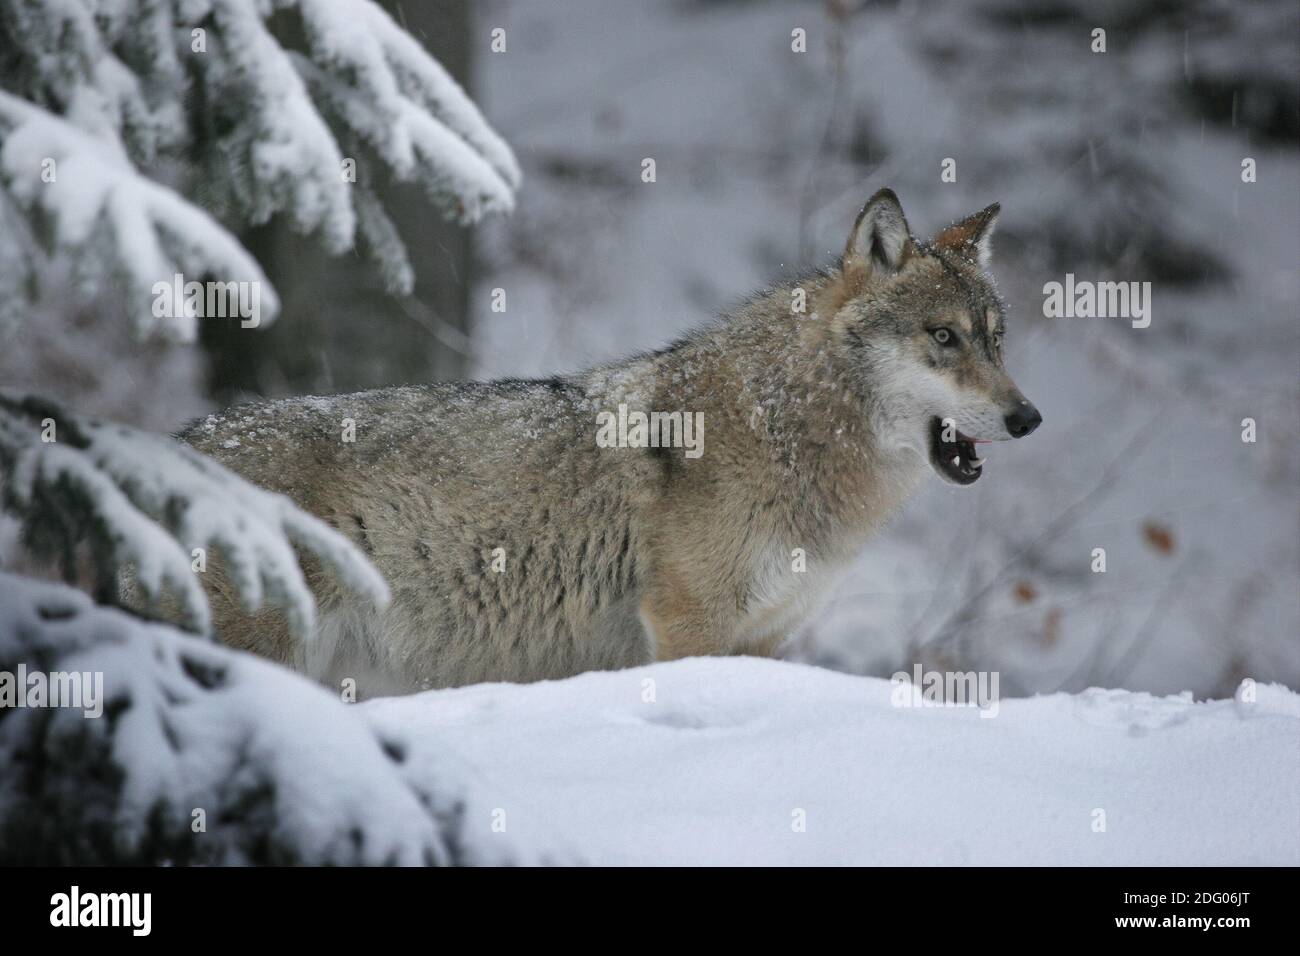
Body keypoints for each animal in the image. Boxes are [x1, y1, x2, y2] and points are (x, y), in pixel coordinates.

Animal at [181, 189, 1041, 692]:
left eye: (996, 341)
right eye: (943, 338)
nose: (1028, 418)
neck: (784, 429)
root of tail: (178, 441)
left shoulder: (764, 641)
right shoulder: (689, 626)